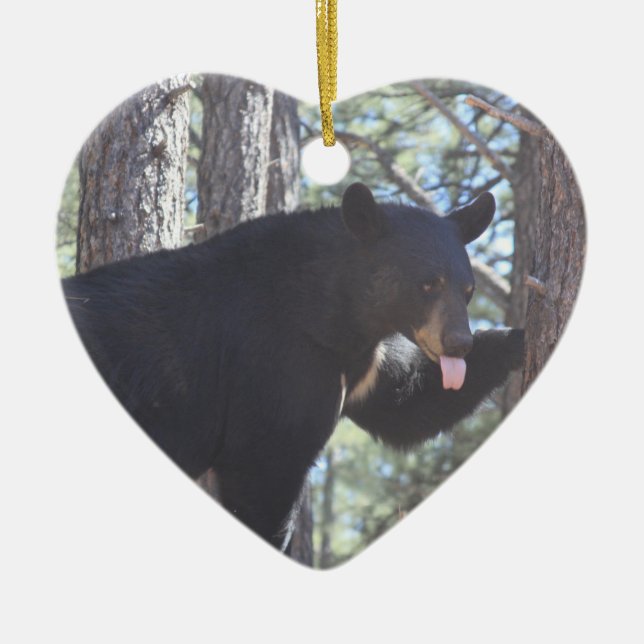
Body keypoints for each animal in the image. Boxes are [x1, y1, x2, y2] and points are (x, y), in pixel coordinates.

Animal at [63, 182, 524, 552]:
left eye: (468, 289)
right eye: (427, 284)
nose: (459, 343)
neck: (335, 314)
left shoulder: (362, 364)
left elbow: (407, 404)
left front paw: (516, 338)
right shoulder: (275, 360)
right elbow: (267, 462)